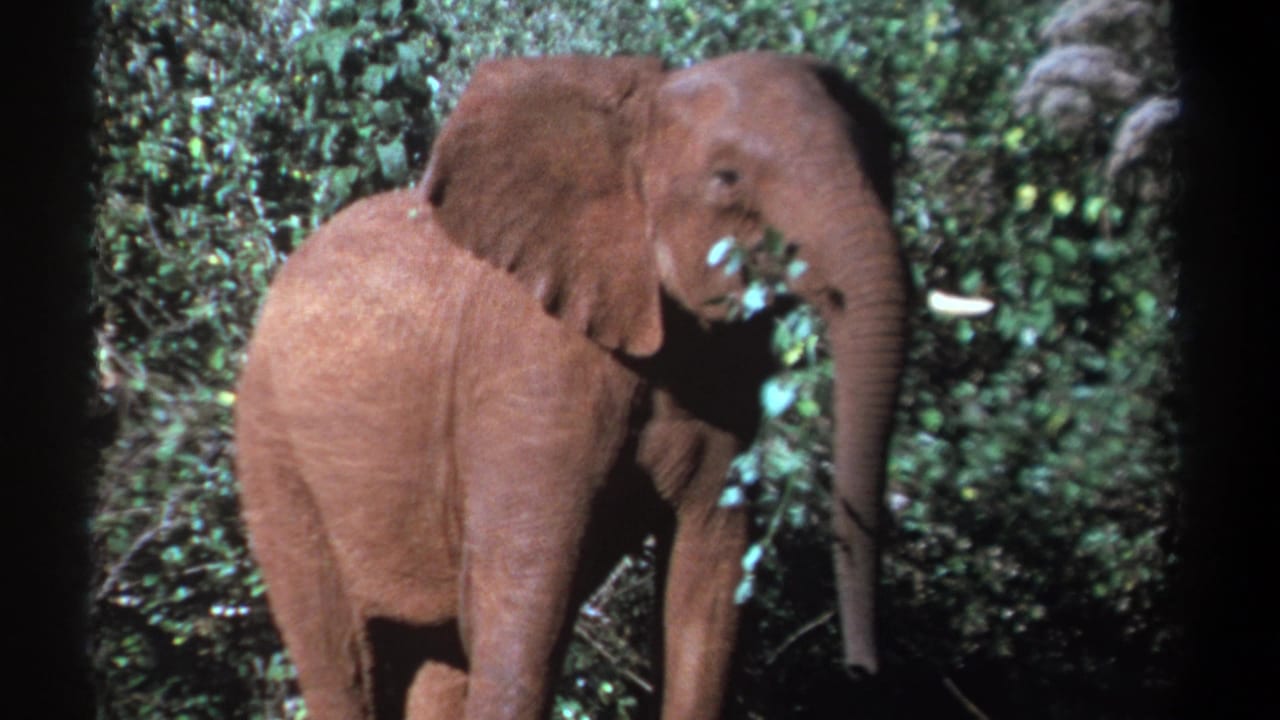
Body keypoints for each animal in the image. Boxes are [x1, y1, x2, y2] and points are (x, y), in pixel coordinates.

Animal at [234, 51, 907, 720]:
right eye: (726, 179)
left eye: (881, 163)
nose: (862, 671)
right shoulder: (532, 360)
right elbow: (527, 600)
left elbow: (709, 583)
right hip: (273, 449)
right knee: (342, 658)